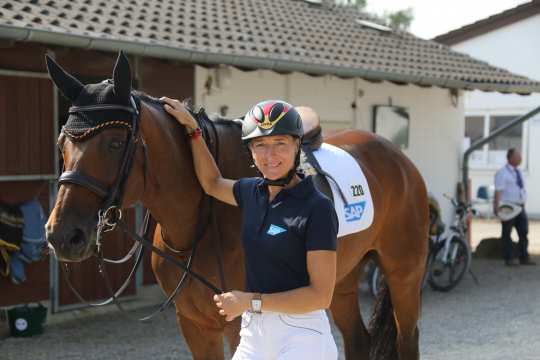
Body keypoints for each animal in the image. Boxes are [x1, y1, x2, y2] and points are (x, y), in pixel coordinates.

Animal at [44, 51, 428, 360]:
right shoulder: (195, 324)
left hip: (404, 274)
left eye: (114, 143)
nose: (63, 236)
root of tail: (399, 159)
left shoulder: (235, 322)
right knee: (358, 340)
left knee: (408, 338)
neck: (200, 219)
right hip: (340, 281)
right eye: (62, 143)